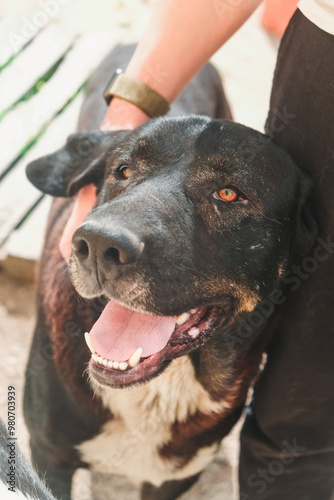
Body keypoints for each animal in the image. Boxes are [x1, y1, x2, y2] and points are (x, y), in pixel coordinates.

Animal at [23, 45, 316, 498]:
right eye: (123, 171)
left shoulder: (175, 477)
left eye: (229, 193)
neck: (161, 388)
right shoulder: (47, 459)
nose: (98, 245)